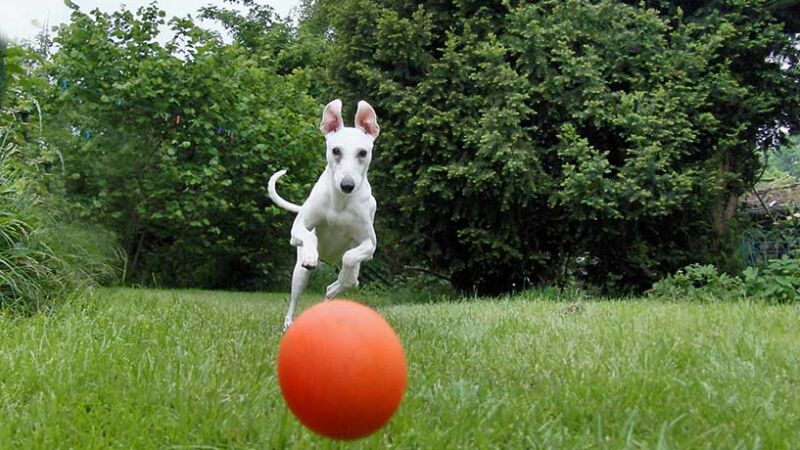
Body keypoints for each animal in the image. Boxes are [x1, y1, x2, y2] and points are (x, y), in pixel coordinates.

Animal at [268, 99, 382, 330]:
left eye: (362, 153)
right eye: (336, 150)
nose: (347, 185)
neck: (340, 202)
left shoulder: (369, 244)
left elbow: (351, 258)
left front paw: (341, 279)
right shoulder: (297, 231)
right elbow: (307, 234)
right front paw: (311, 256)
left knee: (349, 279)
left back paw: (335, 288)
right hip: (299, 274)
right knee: (296, 292)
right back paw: (289, 323)